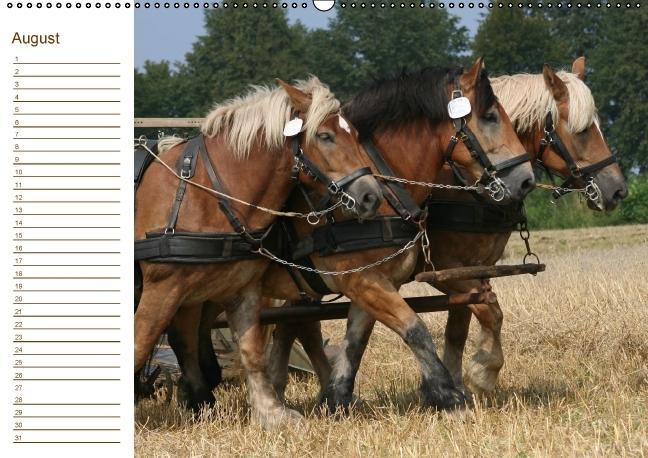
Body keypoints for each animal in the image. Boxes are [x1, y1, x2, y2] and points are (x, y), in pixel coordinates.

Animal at [134, 77, 384, 429]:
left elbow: (252, 351)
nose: (371, 196)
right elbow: (139, 344)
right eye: (325, 136)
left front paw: (272, 413)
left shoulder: (240, 288)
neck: (204, 193)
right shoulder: (161, 289)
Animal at [167, 58, 536, 418]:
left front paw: (336, 399)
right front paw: (452, 393)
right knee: (184, 332)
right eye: (490, 117)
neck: (386, 187)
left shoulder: (379, 281)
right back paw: (201, 397)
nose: (526, 180)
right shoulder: (369, 279)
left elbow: (356, 341)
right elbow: (417, 328)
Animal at [267, 57, 628, 408]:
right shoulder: (442, 270)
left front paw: (456, 382)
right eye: (583, 130)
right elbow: (489, 311)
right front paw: (479, 374)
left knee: (293, 325)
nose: (618, 190)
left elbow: (459, 326)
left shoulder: (470, 269)